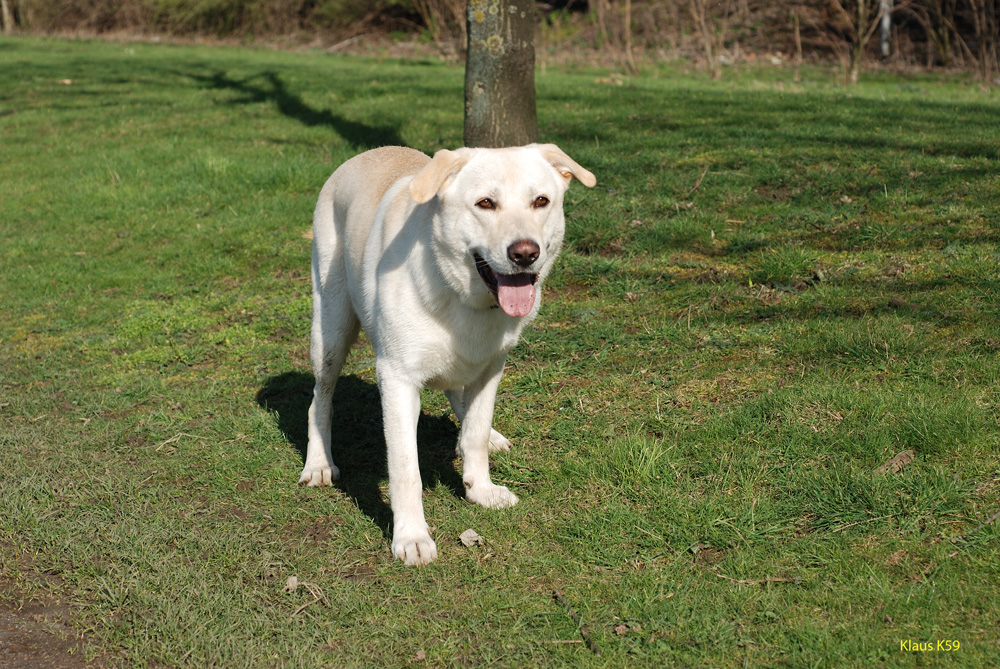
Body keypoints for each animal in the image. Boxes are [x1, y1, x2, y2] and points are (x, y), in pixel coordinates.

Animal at [296, 145, 592, 564]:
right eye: (485, 203)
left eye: (541, 201)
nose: (525, 254)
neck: (461, 294)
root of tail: (363, 155)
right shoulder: (397, 379)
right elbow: (406, 469)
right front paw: (411, 537)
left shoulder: (491, 367)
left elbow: (476, 431)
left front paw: (480, 488)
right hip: (331, 330)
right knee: (319, 398)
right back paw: (319, 464)